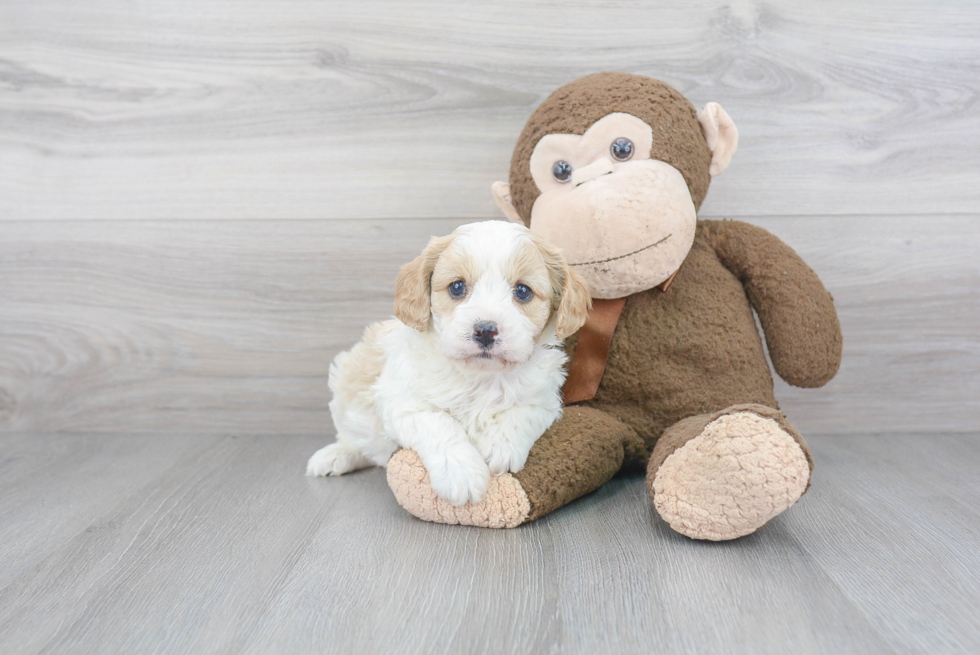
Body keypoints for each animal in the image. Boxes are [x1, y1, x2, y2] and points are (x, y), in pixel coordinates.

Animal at [308, 222, 588, 508]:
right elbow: (438, 423)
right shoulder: (402, 401)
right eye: (457, 287)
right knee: (354, 437)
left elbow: (521, 413)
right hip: (346, 381)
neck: (481, 376)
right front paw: (461, 473)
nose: (485, 330)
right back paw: (335, 455)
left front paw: (499, 446)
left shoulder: (545, 400)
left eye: (522, 291)